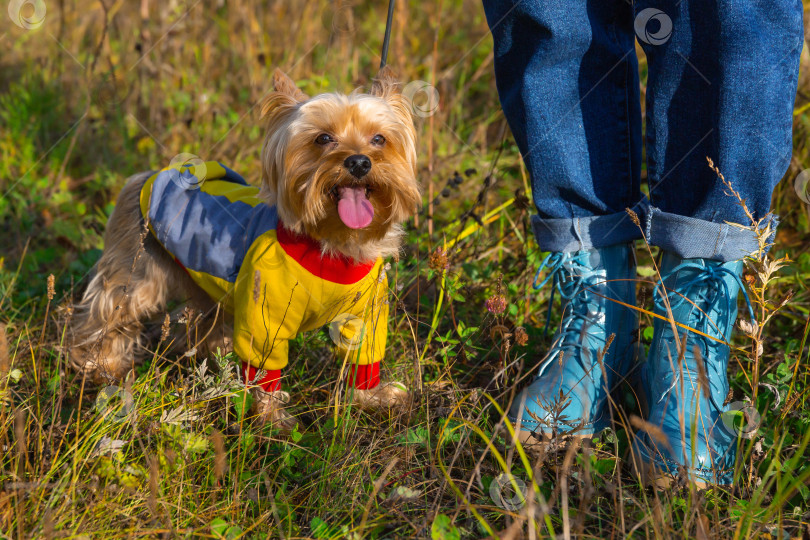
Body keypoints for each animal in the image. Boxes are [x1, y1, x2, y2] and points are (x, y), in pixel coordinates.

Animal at [68, 67, 420, 428]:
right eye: (323, 139)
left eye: (379, 139)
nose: (360, 162)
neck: (332, 243)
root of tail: (147, 175)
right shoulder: (265, 315)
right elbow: (264, 366)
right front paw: (272, 418)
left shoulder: (367, 312)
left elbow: (364, 353)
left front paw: (374, 397)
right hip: (137, 269)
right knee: (109, 311)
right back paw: (101, 367)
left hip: (205, 284)